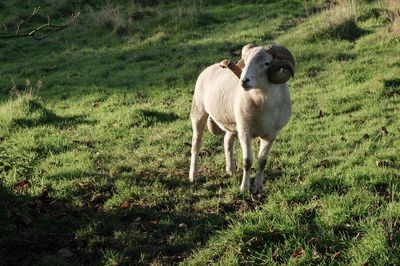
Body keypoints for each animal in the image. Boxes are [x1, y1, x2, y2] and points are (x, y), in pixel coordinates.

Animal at [189, 44, 296, 193]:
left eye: (266, 63)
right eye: (245, 62)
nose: (244, 81)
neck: (263, 102)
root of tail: (210, 67)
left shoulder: (271, 134)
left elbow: (262, 161)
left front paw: (258, 187)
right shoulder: (245, 131)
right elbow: (247, 161)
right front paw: (244, 188)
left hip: (232, 123)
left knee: (227, 141)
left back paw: (230, 170)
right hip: (199, 113)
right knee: (196, 145)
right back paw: (193, 176)